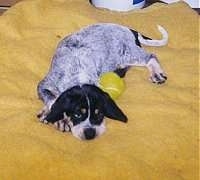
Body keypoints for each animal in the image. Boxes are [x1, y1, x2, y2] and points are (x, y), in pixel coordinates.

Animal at [37, 22, 167, 141]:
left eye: (99, 113)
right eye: (77, 114)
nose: (90, 134)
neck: (78, 74)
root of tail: (128, 29)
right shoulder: (43, 85)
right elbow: (52, 99)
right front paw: (57, 117)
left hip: (128, 54)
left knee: (151, 56)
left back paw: (157, 74)